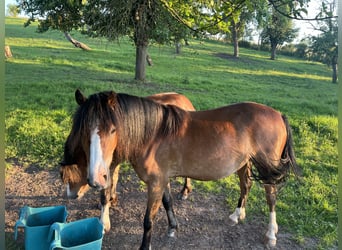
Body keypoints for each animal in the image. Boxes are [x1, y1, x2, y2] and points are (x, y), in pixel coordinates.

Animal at [69, 90, 296, 250]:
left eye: (113, 129)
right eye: (84, 130)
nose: (96, 178)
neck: (153, 135)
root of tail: (279, 115)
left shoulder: (155, 183)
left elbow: (148, 220)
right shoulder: (163, 179)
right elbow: (168, 202)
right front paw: (172, 228)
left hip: (268, 169)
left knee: (271, 197)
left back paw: (271, 234)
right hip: (243, 163)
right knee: (245, 185)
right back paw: (236, 215)